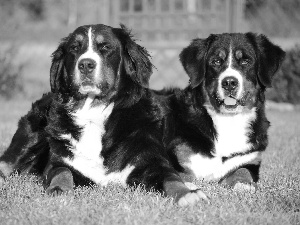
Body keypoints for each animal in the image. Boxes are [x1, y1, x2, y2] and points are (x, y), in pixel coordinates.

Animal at [0, 24, 207, 206]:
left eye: (105, 47)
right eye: (74, 48)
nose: (85, 64)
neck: (93, 112)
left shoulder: (150, 162)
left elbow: (170, 177)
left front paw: (187, 194)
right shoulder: (60, 161)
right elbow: (61, 172)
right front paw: (59, 190)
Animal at [166, 33, 286, 192]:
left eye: (246, 61)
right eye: (216, 61)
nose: (229, 82)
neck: (229, 120)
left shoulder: (250, 159)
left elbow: (243, 171)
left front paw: (243, 185)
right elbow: (180, 175)